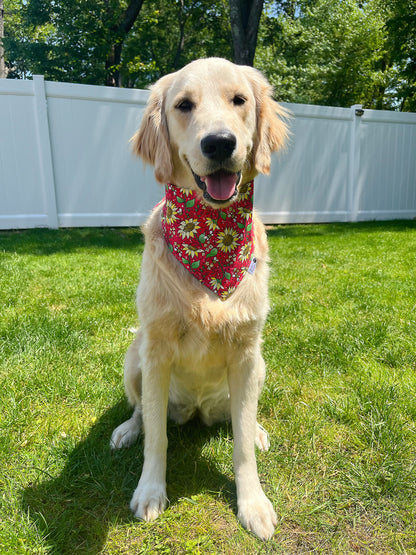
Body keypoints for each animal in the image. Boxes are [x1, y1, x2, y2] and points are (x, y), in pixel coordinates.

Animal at [109, 58, 288, 540]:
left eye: (239, 100)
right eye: (184, 105)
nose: (220, 143)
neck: (209, 232)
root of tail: (196, 411)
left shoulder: (245, 353)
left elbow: (242, 446)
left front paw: (253, 503)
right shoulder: (156, 352)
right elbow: (157, 436)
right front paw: (150, 490)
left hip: (261, 365)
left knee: (243, 418)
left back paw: (258, 429)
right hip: (134, 357)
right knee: (141, 411)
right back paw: (126, 430)